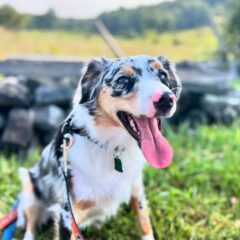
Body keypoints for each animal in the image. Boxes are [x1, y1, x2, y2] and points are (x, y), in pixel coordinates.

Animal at [16, 55, 181, 239]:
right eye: (123, 79)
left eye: (163, 75)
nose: (166, 99)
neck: (111, 146)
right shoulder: (67, 214)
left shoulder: (137, 190)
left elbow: (145, 223)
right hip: (30, 189)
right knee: (30, 224)